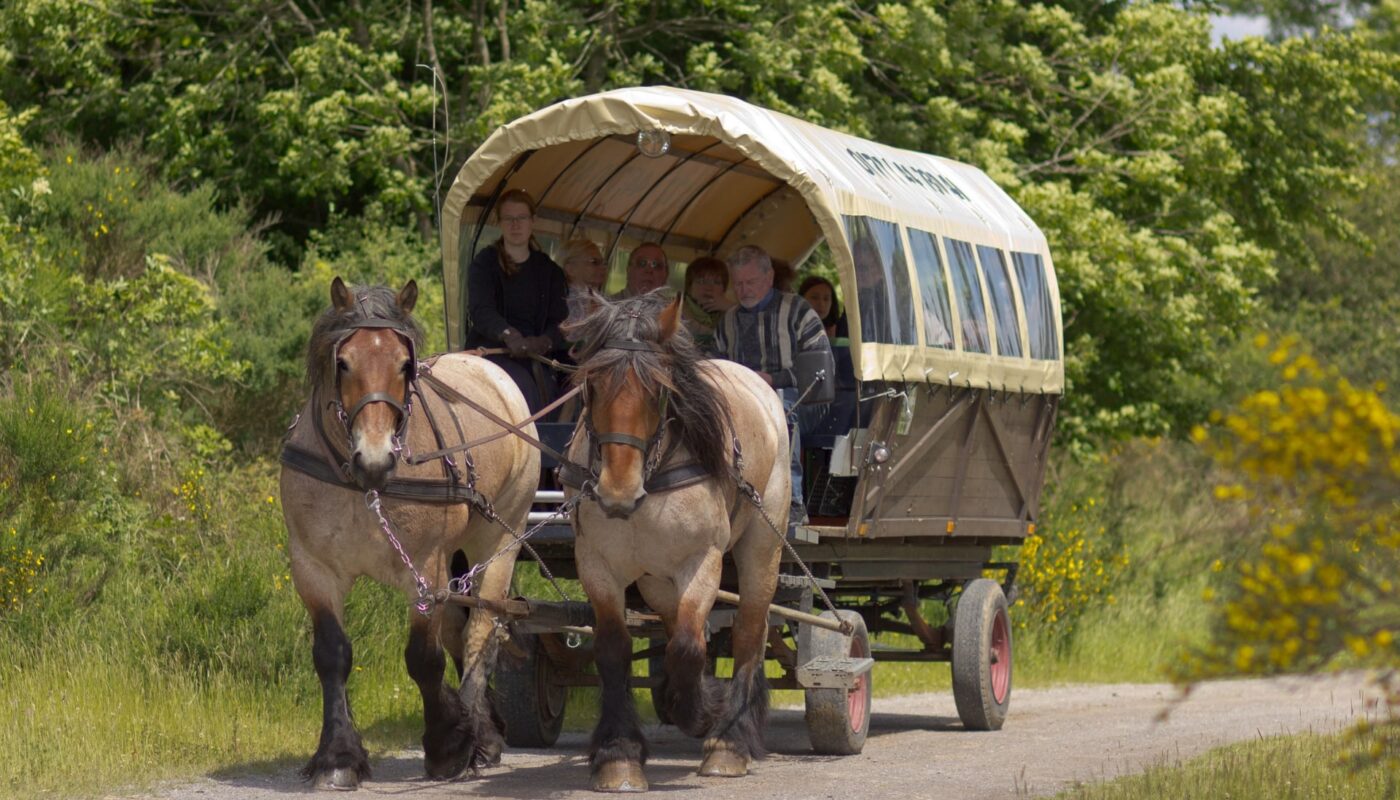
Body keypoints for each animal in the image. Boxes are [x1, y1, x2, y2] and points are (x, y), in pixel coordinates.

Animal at [277, 278, 534, 790]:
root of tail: (491, 368)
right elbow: (331, 654)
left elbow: (423, 658)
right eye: (343, 362)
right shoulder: (313, 567)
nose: (375, 460)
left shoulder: (426, 571)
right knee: (460, 629)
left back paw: (480, 736)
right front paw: (337, 757)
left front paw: (448, 745)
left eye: (404, 365)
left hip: (501, 539)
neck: (363, 487)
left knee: (482, 630)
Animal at [562, 291, 795, 790]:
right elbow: (614, 648)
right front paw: (618, 753)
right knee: (678, 626)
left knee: (749, 631)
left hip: (762, 546)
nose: (616, 492)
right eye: (592, 385)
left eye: (658, 390)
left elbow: (690, 646)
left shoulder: (702, 559)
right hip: (655, 578)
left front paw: (702, 713)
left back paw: (729, 741)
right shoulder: (597, 562)